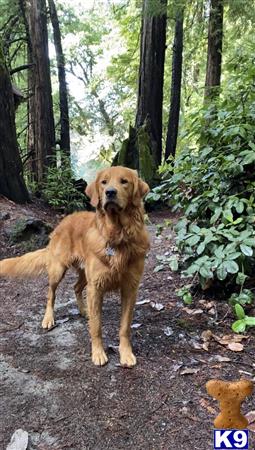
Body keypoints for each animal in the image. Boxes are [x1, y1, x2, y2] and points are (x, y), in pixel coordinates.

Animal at [0, 167, 149, 368]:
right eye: (104, 182)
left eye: (124, 181)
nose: (110, 192)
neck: (117, 236)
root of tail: (63, 221)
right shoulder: (96, 288)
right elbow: (96, 326)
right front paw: (98, 353)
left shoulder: (130, 288)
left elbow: (124, 327)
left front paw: (126, 354)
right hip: (58, 270)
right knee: (51, 294)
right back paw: (48, 318)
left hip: (85, 275)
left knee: (76, 287)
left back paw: (83, 310)